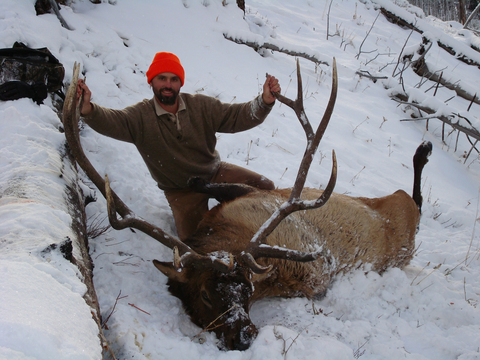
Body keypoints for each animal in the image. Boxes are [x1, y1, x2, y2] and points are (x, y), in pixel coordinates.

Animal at [62, 59, 434, 352]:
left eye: (247, 292)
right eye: (207, 295)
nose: (243, 336)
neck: (226, 231)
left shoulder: (305, 264)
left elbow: (216, 183)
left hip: (403, 227)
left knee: (414, 201)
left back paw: (424, 149)